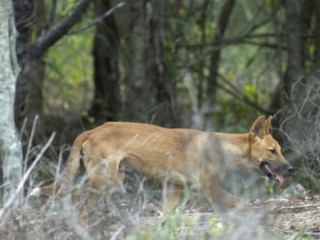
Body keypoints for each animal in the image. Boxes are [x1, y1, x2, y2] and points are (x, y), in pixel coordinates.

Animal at [31, 116, 294, 214]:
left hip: (113, 179)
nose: (291, 168)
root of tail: (92, 129)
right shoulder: (209, 188)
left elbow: (165, 216)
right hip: (107, 181)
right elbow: (243, 203)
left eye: (281, 151)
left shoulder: (173, 188)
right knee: (79, 204)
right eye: (272, 151)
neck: (225, 149)